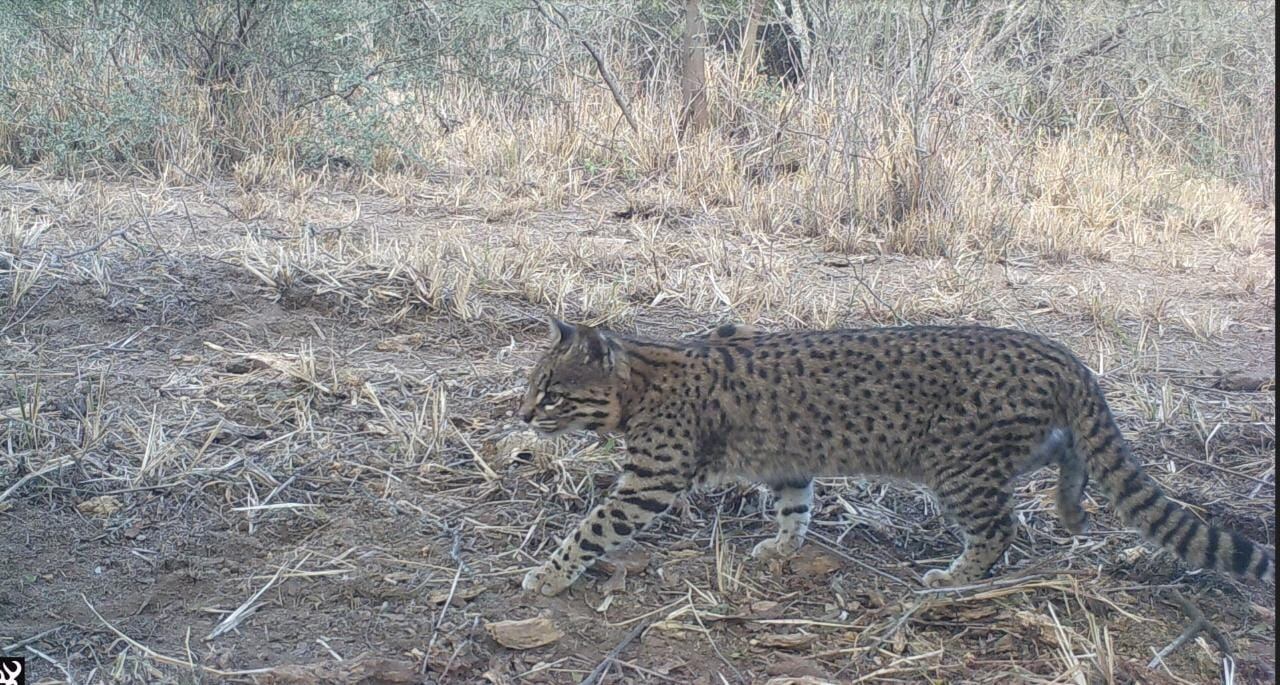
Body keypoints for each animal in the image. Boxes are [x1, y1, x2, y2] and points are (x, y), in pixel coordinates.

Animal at [514, 318, 1274, 596]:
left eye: (550, 394)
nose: (519, 414)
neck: (642, 378)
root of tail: (1063, 354)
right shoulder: (789, 461)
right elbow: (795, 505)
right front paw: (781, 546)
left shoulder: (651, 478)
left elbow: (592, 526)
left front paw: (547, 573)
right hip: (1016, 446)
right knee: (1070, 459)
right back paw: (1069, 504)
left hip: (957, 463)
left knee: (1001, 526)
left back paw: (956, 573)